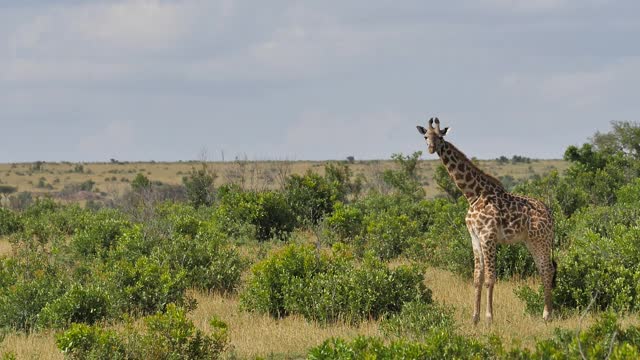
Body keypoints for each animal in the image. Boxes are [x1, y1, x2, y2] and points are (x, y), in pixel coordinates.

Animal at [418, 118, 556, 324]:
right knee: (543, 270)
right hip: (531, 242)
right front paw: (474, 318)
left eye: (440, 137)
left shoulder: (488, 236)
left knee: (547, 270)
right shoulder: (475, 238)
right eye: (426, 136)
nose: (431, 148)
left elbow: (490, 278)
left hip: (541, 240)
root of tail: (550, 214)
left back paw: (547, 315)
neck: (473, 195)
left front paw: (489, 318)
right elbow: (477, 278)